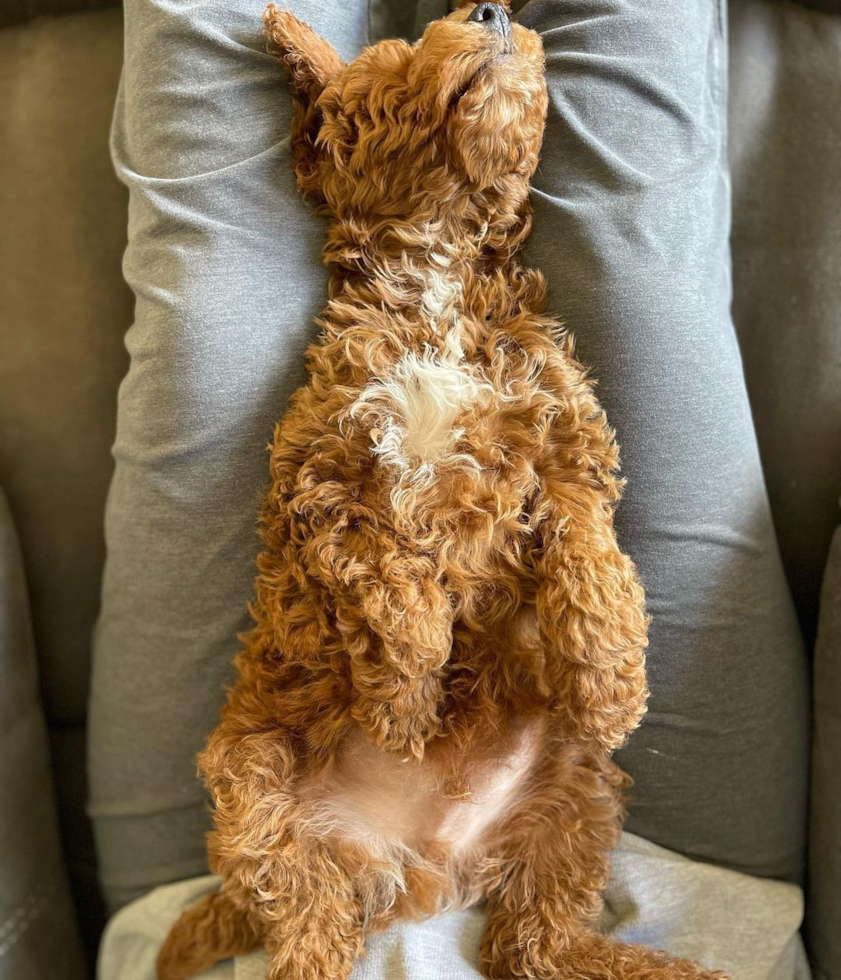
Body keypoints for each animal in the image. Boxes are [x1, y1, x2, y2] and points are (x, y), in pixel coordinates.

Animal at [158, 7, 728, 980]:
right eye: (407, 47)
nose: (492, 12)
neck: (434, 282)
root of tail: (422, 865)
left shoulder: (568, 448)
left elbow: (592, 558)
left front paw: (612, 680)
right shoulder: (319, 480)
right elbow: (390, 579)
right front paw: (405, 699)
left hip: (577, 787)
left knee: (535, 944)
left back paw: (660, 965)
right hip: (253, 787)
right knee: (307, 919)